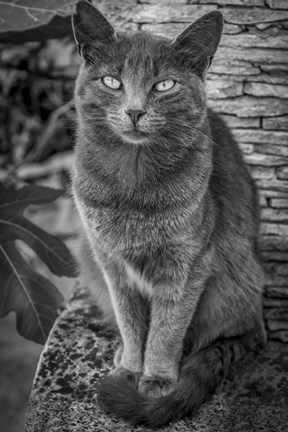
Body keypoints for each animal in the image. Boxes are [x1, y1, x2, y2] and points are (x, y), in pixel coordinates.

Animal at [71, 0, 266, 426]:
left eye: (164, 86)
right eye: (112, 82)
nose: (134, 111)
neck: (133, 184)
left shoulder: (187, 264)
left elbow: (167, 327)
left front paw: (157, 379)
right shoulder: (110, 261)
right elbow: (130, 322)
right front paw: (129, 368)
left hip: (238, 279)